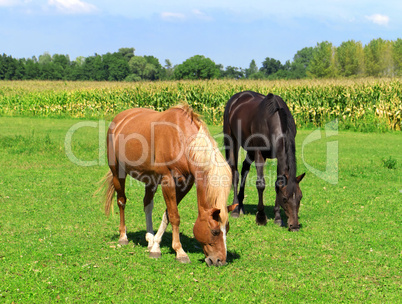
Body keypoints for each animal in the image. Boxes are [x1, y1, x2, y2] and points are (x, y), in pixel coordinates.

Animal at [100, 104, 237, 266]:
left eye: (227, 229)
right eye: (215, 231)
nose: (220, 260)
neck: (181, 140)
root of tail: (119, 119)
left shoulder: (185, 184)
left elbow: (167, 214)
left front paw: (155, 246)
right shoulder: (168, 181)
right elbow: (174, 216)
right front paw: (180, 252)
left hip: (150, 180)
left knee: (147, 205)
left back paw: (149, 239)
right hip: (117, 173)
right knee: (121, 201)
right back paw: (123, 236)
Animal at [223, 91, 304, 232]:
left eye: (300, 197)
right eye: (285, 199)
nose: (294, 226)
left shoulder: (279, 156)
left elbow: (278, 184)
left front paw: (277, 218)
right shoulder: (259, 153)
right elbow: (260, 184)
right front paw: (261, 217)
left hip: (249, 148)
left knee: (245, 168)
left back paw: (241, 205)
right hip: (232, 141)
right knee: (235, 173)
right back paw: (235, 208)